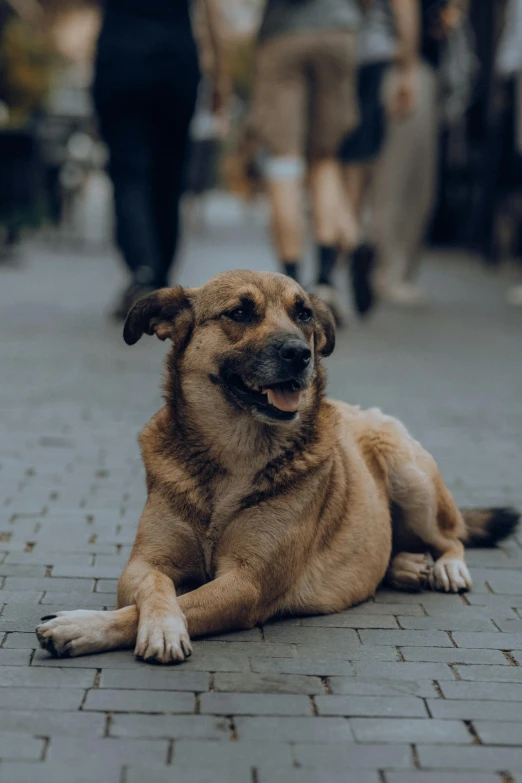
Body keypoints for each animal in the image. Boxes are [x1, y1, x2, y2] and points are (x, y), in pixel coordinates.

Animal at [35, 272, 516, 664]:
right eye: (240, 312)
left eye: (304, 313)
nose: (299, 354)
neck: (234, 452)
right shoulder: (144, 563)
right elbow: (156, 591)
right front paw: (154, 624)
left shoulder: (248, 584)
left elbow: (142, 611)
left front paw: (84, 626)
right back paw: (407, 566)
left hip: (408, 472)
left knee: (451, 536)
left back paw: (446, 567)